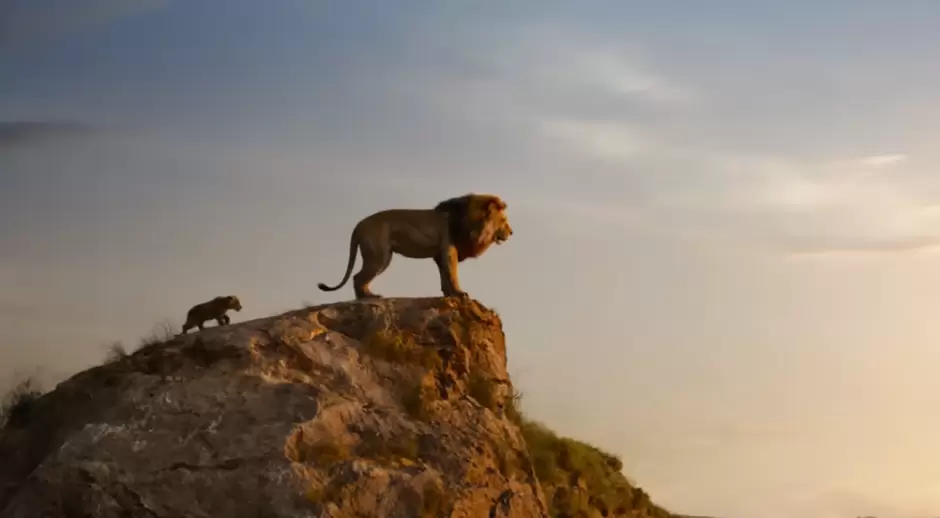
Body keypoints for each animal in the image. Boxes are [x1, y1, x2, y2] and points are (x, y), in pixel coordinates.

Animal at [317, 193, 513, 300]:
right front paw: (459, 293)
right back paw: (367, 298)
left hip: (383, 257)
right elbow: (453, 274)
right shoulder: (449, 249)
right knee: (357, 277)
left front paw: (448, 294)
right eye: (504, 220)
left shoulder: (440, 253)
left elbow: (444, 275)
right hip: (379, 256)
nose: (512, 232)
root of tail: (358, 225)